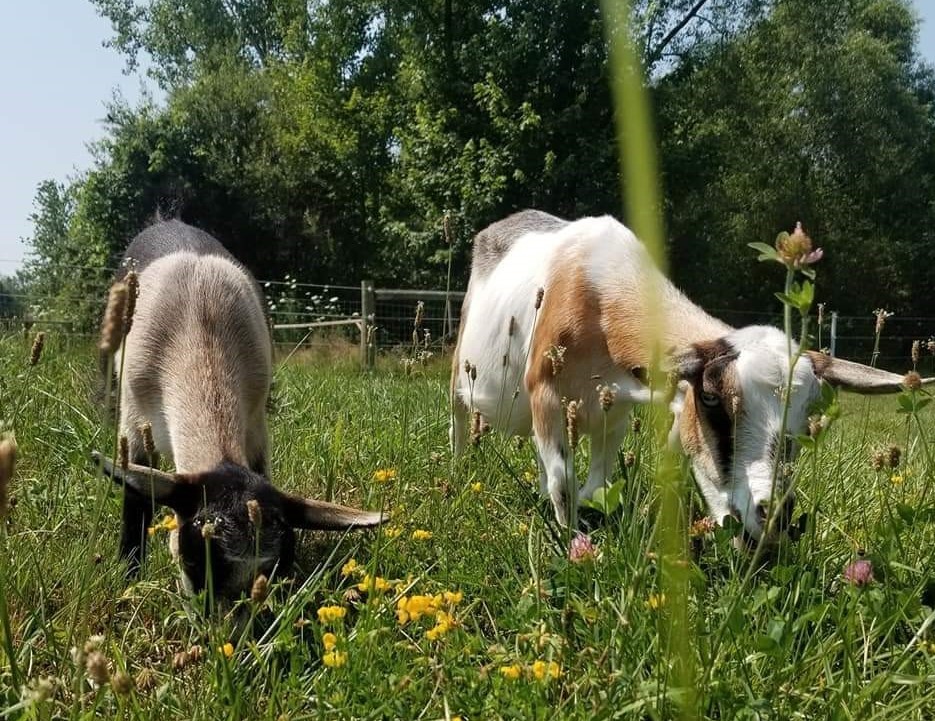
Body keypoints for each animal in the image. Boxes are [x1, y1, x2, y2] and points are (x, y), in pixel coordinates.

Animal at [94, 220, 382, 599]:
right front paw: (130, 575)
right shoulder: (134, 424)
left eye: (279, 567)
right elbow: (135, 499)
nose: (231, 618)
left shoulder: (256, 425)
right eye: (193, 560)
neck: (200, 327)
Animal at [450, 210, 932, 542]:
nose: (772, 516)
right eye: (713, 399)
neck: (594, 290)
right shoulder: (546, 394)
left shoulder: (616, 410)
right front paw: (571, 545)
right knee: (459, 417)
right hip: (463, 368)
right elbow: (563, 484)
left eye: (809, 415)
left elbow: (597, 480)